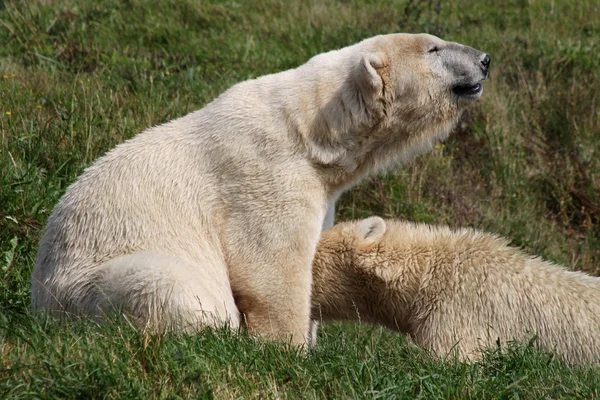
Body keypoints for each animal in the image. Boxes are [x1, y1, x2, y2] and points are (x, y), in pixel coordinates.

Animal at [30, 32, 492, 346]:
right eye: (434, 49)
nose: (485, 59)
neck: (312, 133)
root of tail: (40, 304)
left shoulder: (322, 190)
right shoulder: (267, 175)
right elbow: (272, 268)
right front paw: (289, 348)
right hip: (88, 286)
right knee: (174, 287)